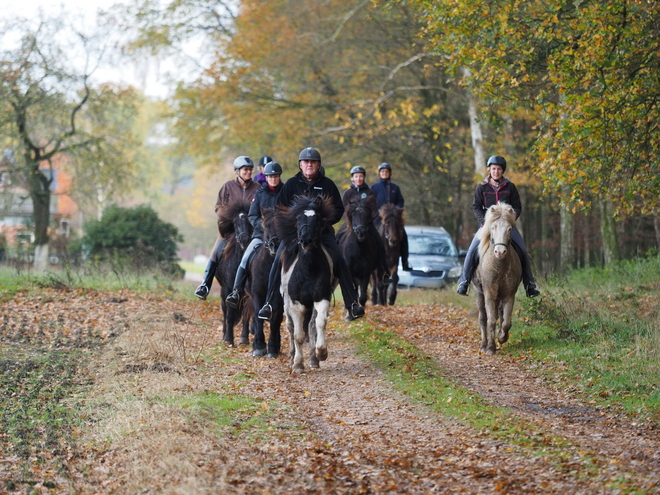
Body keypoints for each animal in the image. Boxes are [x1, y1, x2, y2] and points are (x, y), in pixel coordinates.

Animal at [215, 200, 254, 346]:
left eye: (250, 221)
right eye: (235, 222)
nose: (244, 240)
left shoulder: (247, 292)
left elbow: (246, 313)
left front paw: (244, 338)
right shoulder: (228, 288)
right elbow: (230, 314)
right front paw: (228, 339)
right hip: (223, 291)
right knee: (225, 310)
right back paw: (224, 335)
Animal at [244, 211, 282, 358]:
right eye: (267, 225)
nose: (275, 245)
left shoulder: (277, 298)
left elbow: (275, 321)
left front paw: (272, 348)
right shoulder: (257, 294)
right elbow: (258, 317)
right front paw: (259, 346)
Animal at [276, 194, 338, 376]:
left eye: (316, 218)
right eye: (298, 218)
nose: (306, 240)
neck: (309, 269)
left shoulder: (321, 298)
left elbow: (319, 323)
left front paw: (321, 353)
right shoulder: (296, 304)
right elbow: (298, 335)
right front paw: (297, 364)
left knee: (311, 326)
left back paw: (313, 359)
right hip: (286, 303)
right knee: (290, 327)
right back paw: (292, 357)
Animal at [474, 202, 520, 356]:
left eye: (509, 229)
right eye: (493, 227)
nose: (500, 252)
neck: (499, 265)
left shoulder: (509, 295)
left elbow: (506, 321)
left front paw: (502, 337)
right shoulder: (489, 293)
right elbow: (491, 320)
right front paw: (490, 348)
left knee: (500, 314)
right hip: (479, 292)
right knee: (483, 318)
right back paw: (483, 345)